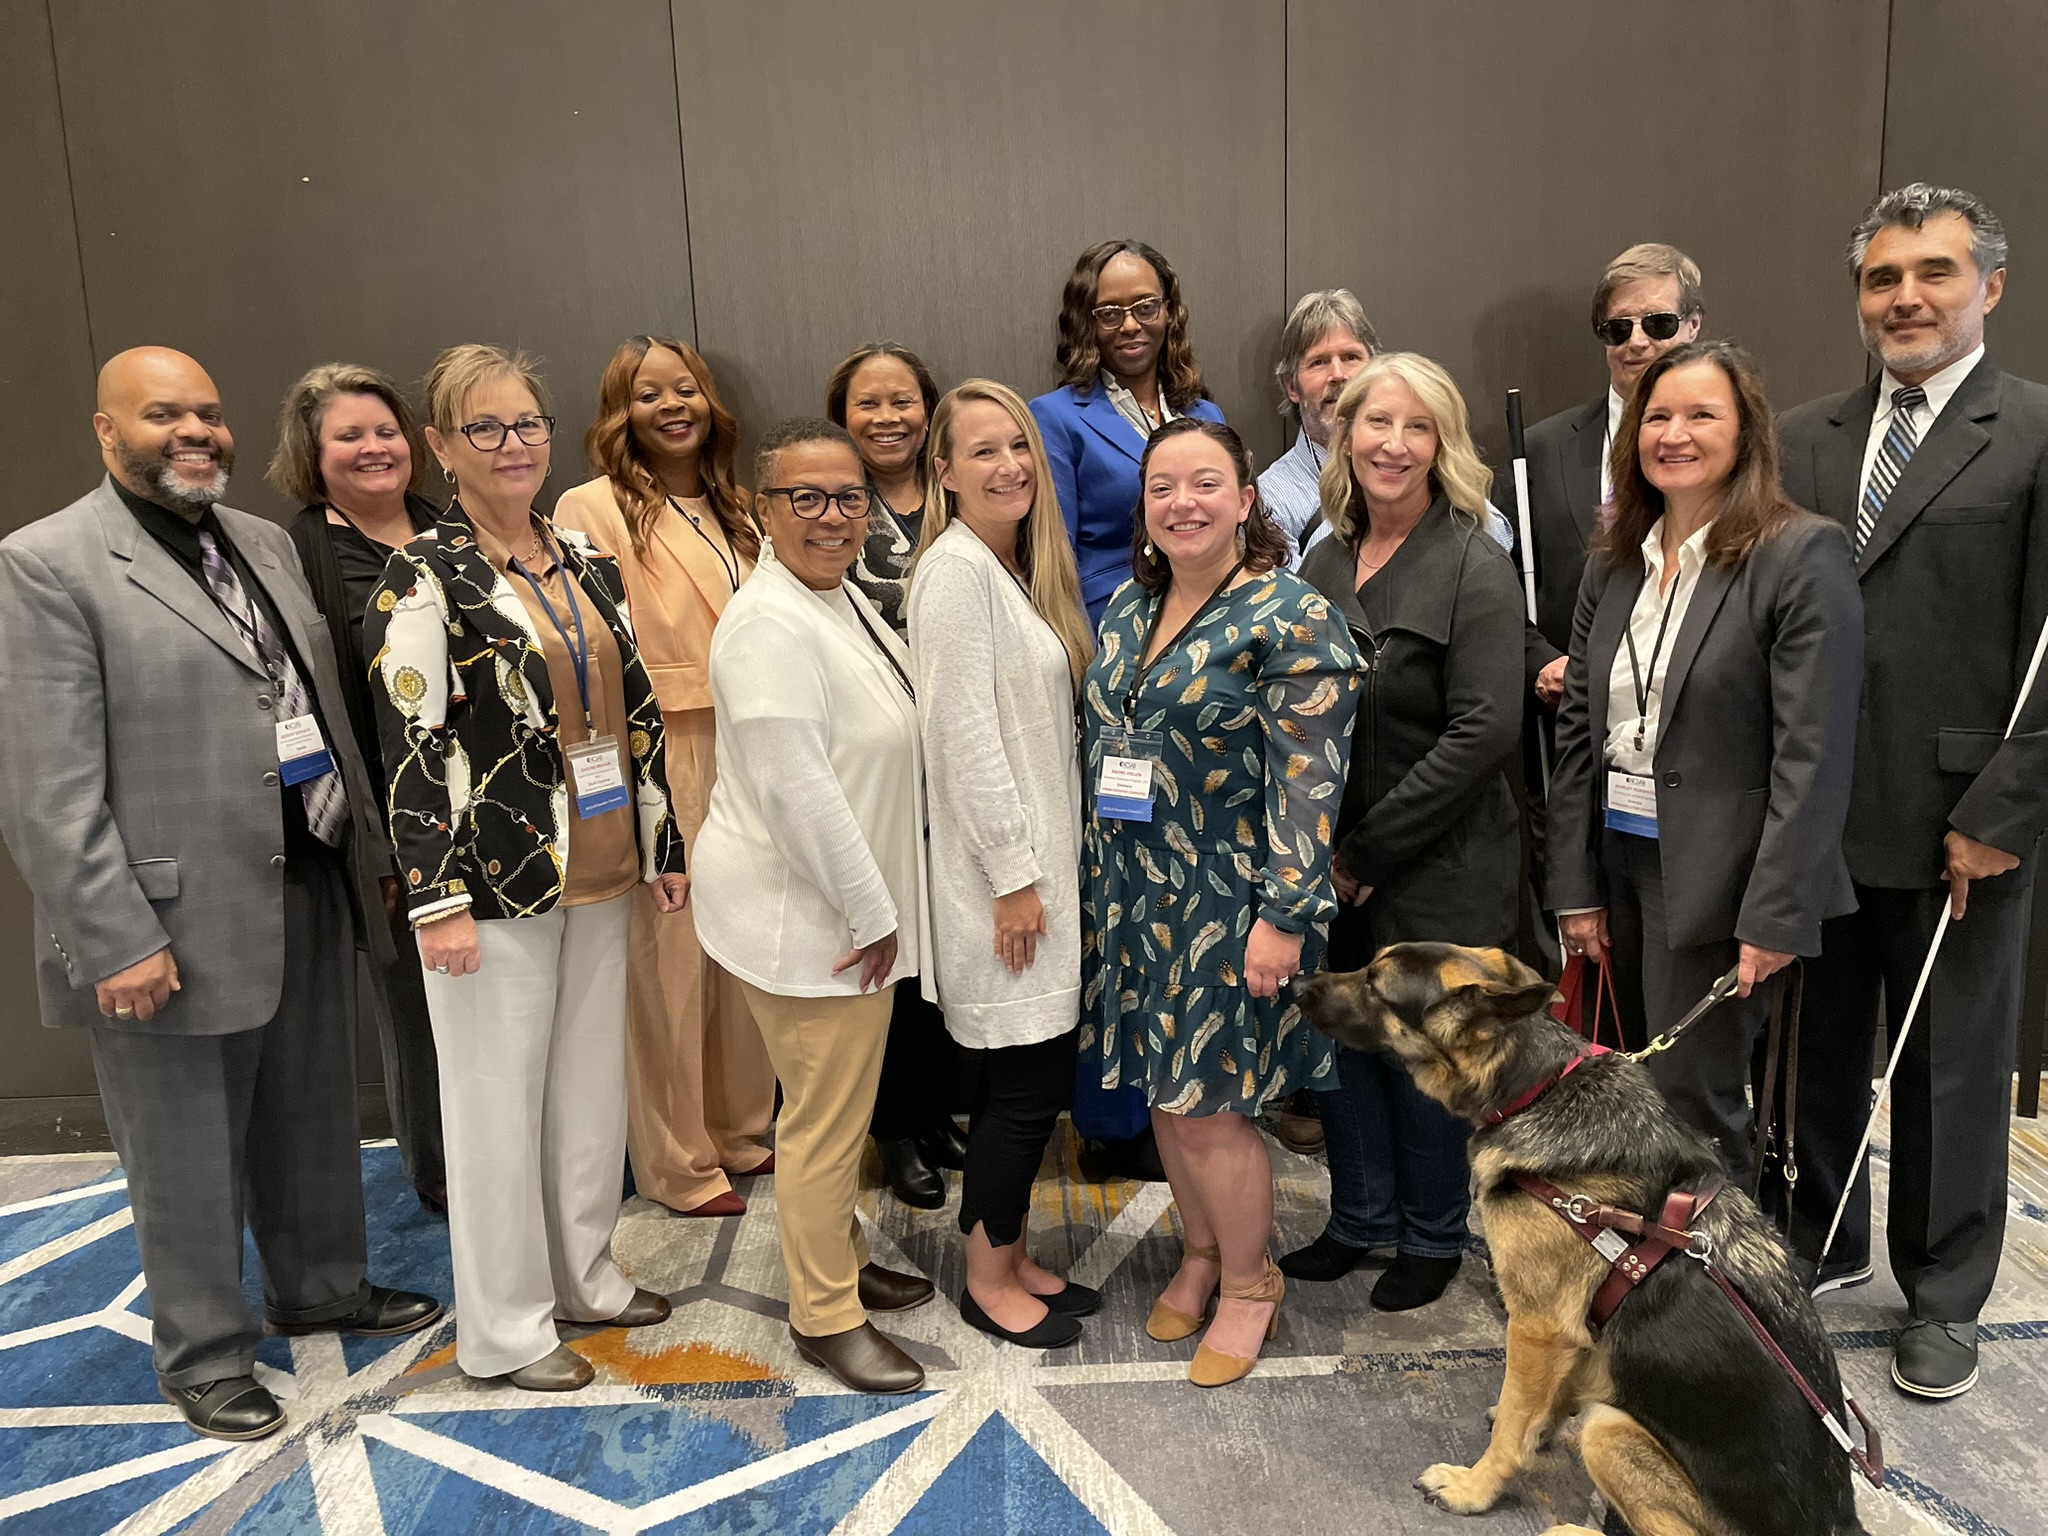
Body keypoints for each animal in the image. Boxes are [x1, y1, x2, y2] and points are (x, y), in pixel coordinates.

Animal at [1302, 946, 1867, 1531]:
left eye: (1375, 985)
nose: (1295, 983)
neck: (1538, 1087)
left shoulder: (1535, 1326)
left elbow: (1513, 1429)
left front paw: (1476, 1486)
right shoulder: (1569, 1333)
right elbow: (1543, 1401)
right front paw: (1539, 1424)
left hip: (1610, 1430)